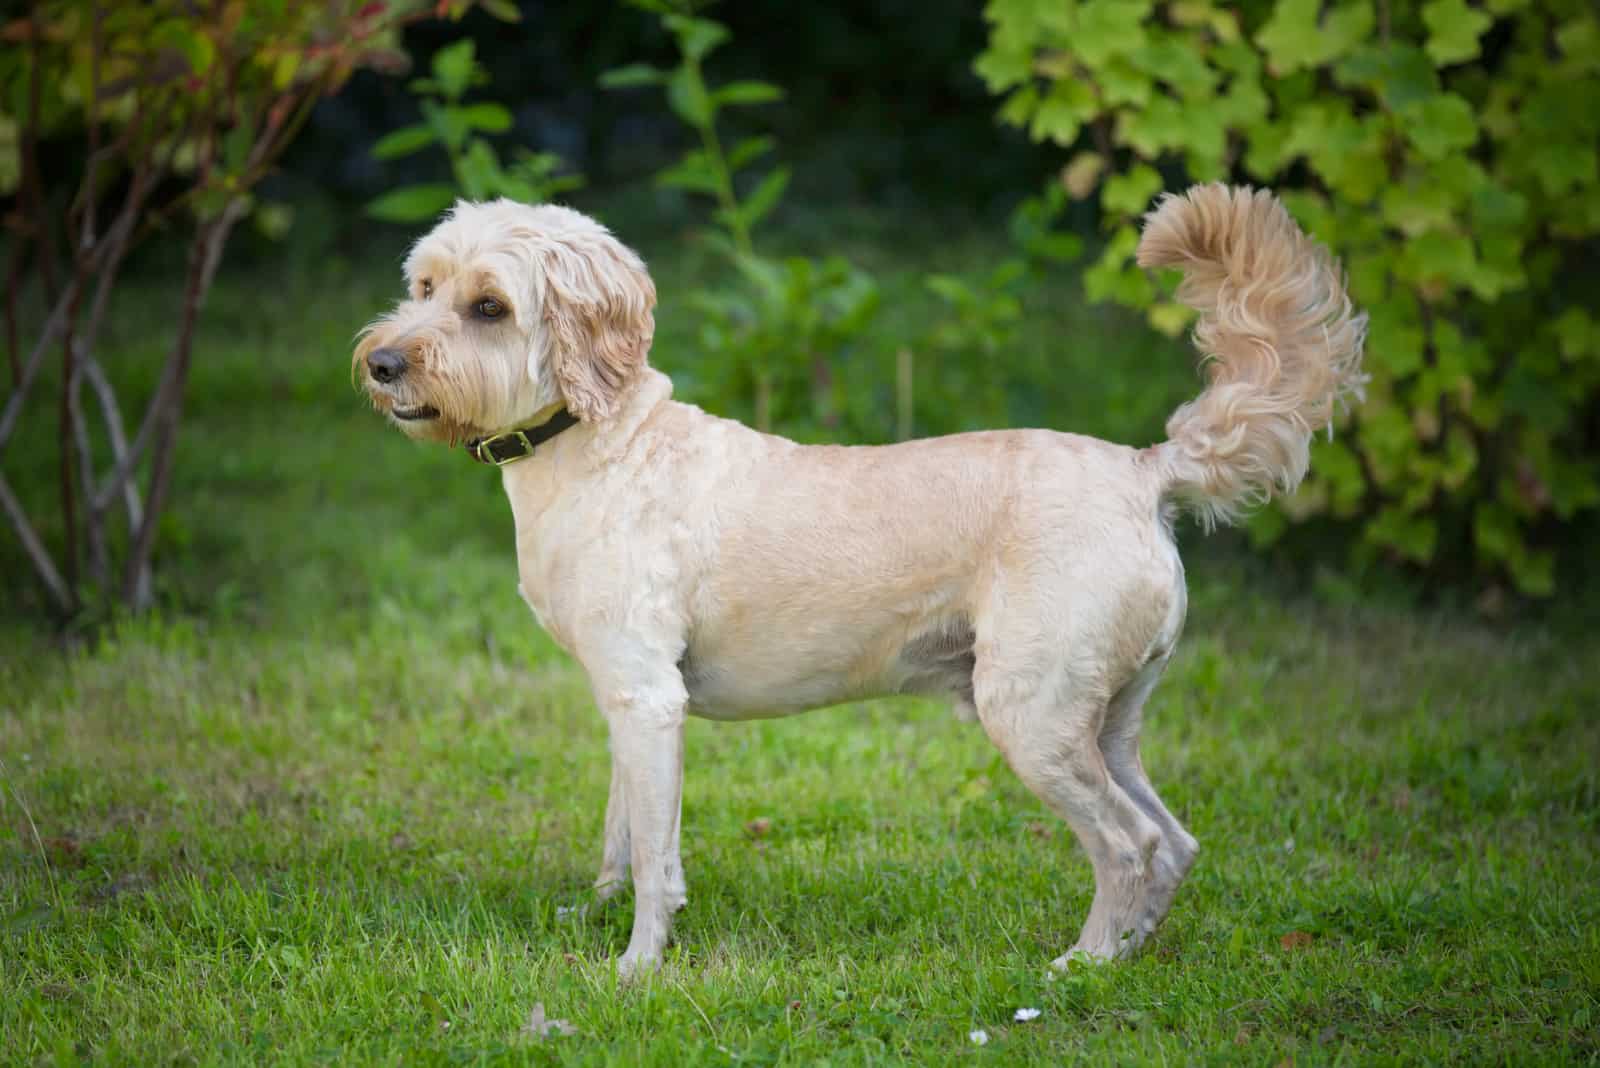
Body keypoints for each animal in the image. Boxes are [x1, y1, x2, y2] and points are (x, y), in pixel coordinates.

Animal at [350, 185, 1363, 978]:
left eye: (489, 307)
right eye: (425, 286)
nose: (381, 363)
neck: (603, 444)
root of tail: (1144, 470)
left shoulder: (646, 698)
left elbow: (655, 862)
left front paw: (635, 968)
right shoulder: (627, 702)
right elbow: (620, 832)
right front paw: (591, 915)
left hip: (1032, 718)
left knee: (1131, 844)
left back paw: (1082, 965)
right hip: (1103, 719)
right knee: (1175, 842)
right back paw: (1130, 954)